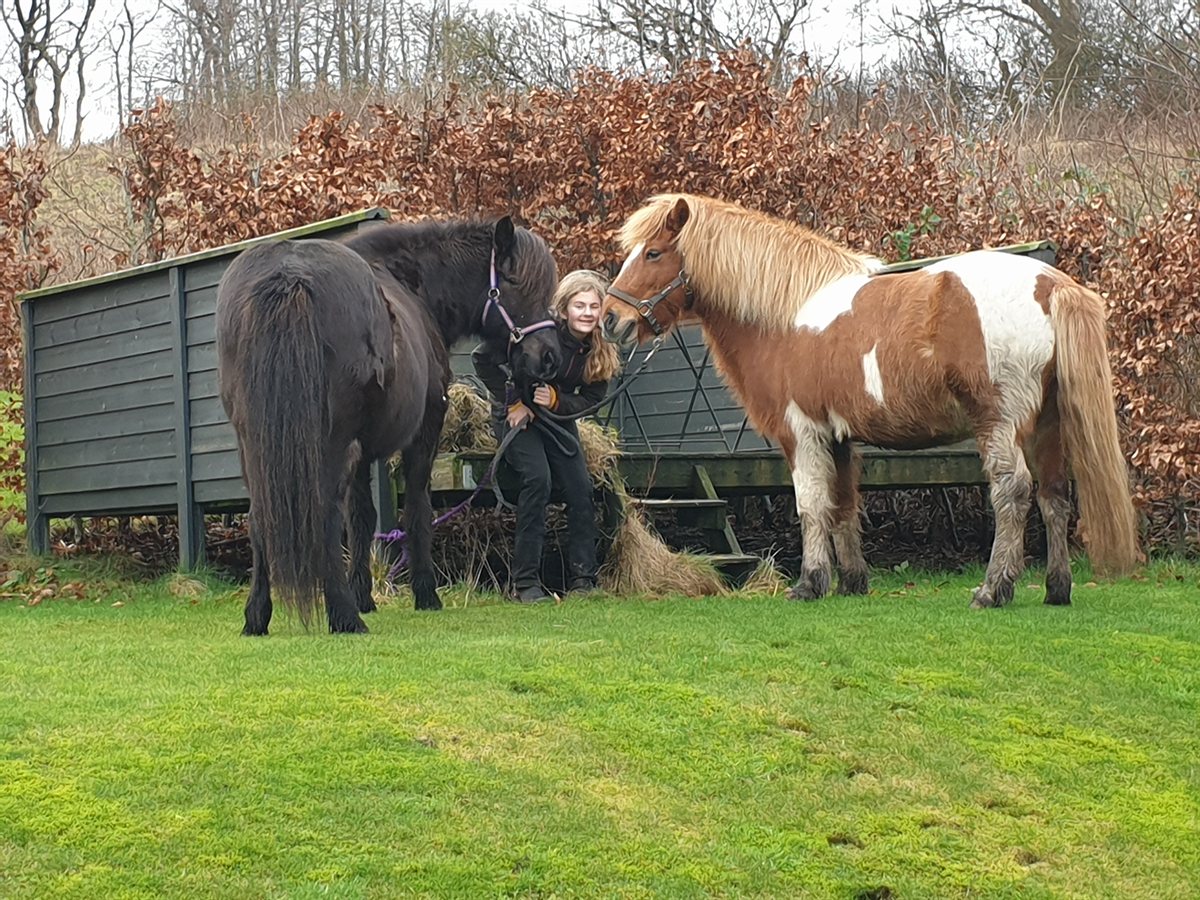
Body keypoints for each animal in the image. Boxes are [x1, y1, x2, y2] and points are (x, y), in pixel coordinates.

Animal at [217, 216, 561, 633]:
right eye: (513, 280)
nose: (549, 357)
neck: (413, 288)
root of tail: (290, 276)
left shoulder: (363, 452)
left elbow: (363, 519)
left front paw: (364, 596)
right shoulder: (423, 434)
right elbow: (416, 511)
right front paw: (425, 595)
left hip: (254, 444)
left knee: (260, 518)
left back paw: (258, 616)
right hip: (330, 444)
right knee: (326, 516)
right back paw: (344, 616)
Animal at [604, 194, 1137, 609]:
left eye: (653, 253)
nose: (611, 318)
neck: (785, 314)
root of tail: (1052, 284)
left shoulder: (802, 434)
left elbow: (810, 504)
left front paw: (810, 583)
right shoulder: (838, 438)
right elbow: (843, 504)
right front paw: (852, 582)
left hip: (999, 423)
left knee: (1014, 491)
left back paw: (993, 589)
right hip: (1047, 424)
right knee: (1053, 496)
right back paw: (1056, 589)